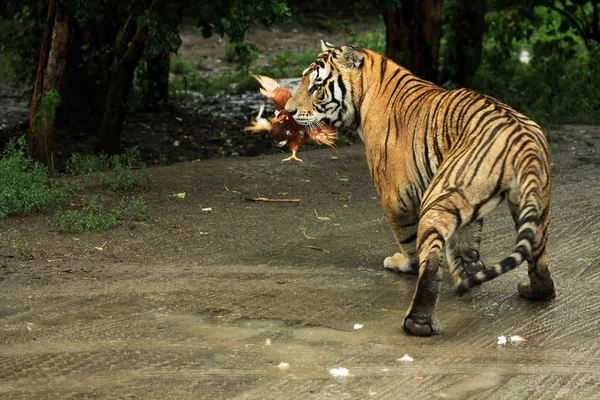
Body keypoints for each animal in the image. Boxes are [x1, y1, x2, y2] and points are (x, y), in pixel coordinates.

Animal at [284, 41, 556, 334]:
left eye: (316, 86)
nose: (287, 111)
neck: (367, 90)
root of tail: (521, 139)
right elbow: (465, 243)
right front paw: (468, 273)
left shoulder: (395, 197)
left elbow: (407, 239)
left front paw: (404, 264)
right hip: (533, 205)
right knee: (538, 260)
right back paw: (531, 290)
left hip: (438, 198)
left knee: (430, 263)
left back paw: (417, 323)